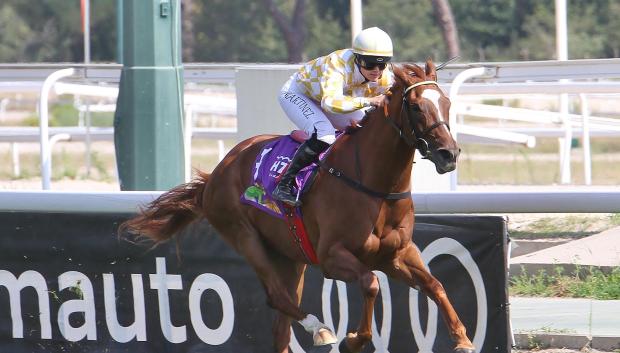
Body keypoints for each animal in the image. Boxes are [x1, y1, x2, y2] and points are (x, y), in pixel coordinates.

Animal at [118, 59, 472, 352]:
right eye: (416, 107)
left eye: (446, 103)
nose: (449, 154)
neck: (375, 186)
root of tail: (217, 172)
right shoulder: (332, 256)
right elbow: (371, 284)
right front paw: (354, 339)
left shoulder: (397, 254)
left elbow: (435, 285)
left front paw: (462, 339)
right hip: (244, 235)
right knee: (277, 297)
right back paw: (320, 329)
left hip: (291, 256)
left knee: (281, 324)